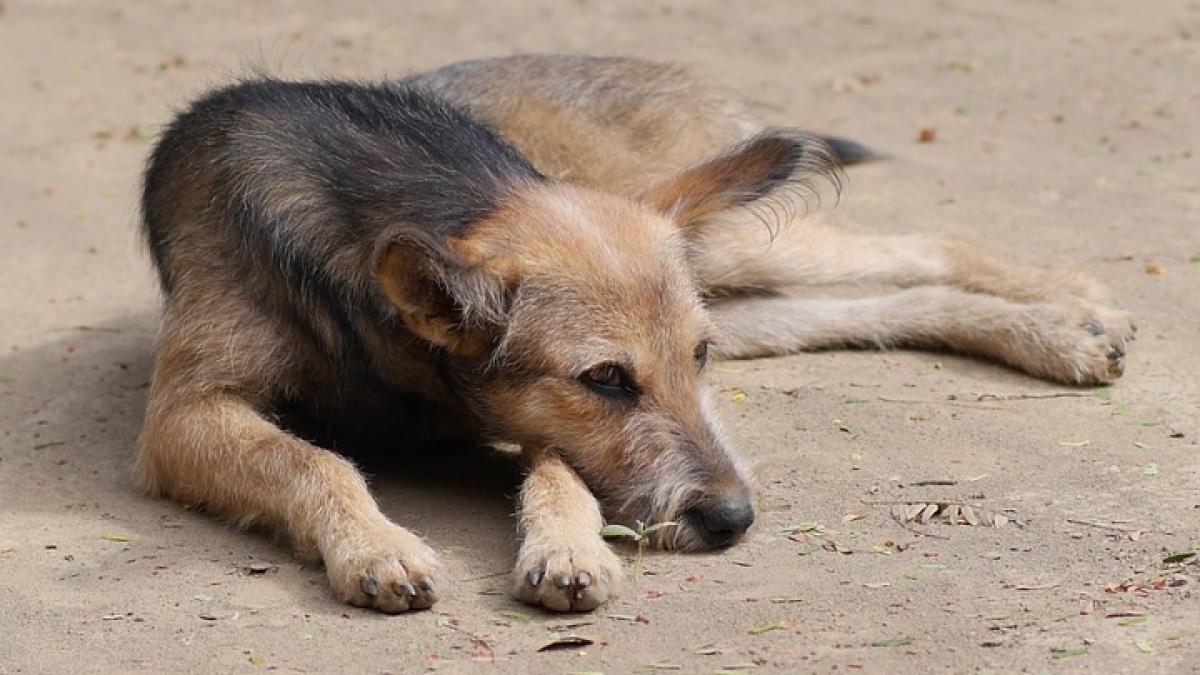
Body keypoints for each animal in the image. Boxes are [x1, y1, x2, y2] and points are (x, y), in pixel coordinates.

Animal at [138, 53, 1132, 610]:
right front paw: (377, 545)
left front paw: (566, 546)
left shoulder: (521, 414)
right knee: (888, 302)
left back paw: (1074, 302)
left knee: (924, 243)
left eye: (694, 358)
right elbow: (313, 460)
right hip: (744, 288)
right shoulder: (184, 416)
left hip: (736, 251)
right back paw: (1062, 330)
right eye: (607, 378)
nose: (734, 520)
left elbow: (559, 471)